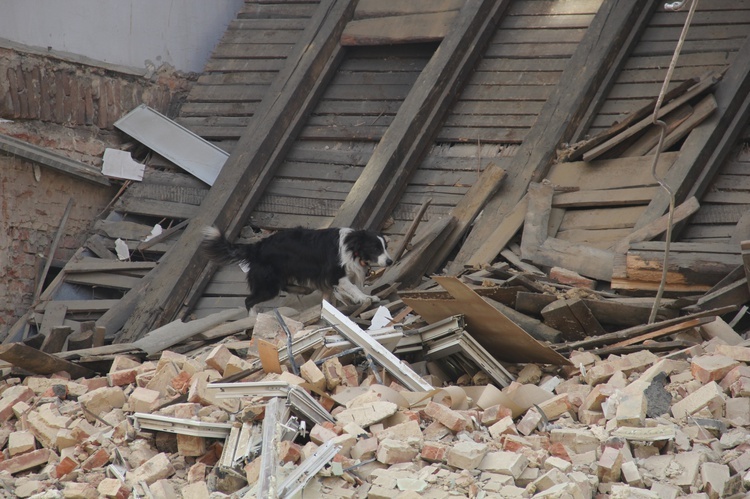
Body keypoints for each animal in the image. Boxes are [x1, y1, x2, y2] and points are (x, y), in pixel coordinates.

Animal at [203, 228, 396, 312]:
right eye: (375, 248)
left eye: (385, 247)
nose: (390, 261)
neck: (353, 245)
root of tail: (257, 246)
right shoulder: (335, 275)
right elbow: (353, 288)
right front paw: (367, 298)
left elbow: (340, 293)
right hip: (268, 285)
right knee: (249, 301)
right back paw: (255, 319)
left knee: (286, 286)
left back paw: (304, 289)